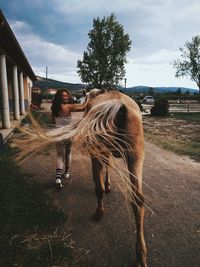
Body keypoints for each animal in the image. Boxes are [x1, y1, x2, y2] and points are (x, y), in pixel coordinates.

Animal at [12, 89, 147, 267]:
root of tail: (119, 104)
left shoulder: (100, 154)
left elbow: (102, 179)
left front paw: (106, 188)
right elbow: (108, 170)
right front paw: (109, 185)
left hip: (102, 153)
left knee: (99, 189)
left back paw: (99, 213)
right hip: (136, 156)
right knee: (137, 200)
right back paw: (141, 255)